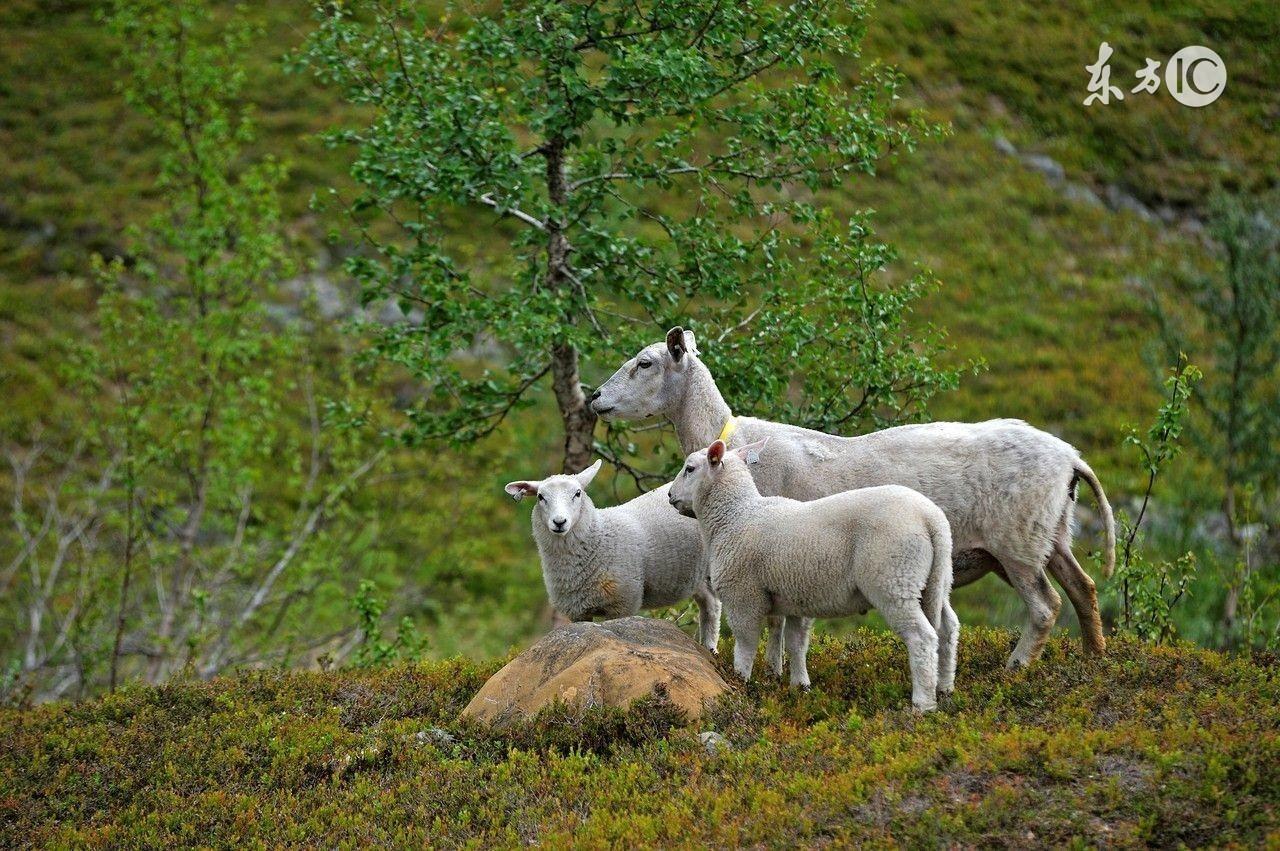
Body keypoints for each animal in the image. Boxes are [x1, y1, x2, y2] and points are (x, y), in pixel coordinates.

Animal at [504, 460, 721, 647]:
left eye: (577, 493)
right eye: (540, 497)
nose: (559, 522)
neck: (599, 537)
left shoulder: (623, 602)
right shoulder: (578, 612)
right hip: (695, 573)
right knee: (709, 603)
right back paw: (708, 647)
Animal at [586, 325, 1111, 665]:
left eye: (644, 363)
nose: (593, 397)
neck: (733, 443)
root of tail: (1071, 457)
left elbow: (775, 625)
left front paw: (771, 674)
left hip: (1016, 543)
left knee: (1046, 608)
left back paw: (1016, 667)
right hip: (1049, 535)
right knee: (1084, 589)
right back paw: (1094, 659)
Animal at [665, 437, 957, 711]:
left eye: (689, 469)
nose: (669, 496)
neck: (735, 516)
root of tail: (931, 519)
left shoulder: (743, 596)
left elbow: (746, 646)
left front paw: (741, 683)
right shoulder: (797, 597)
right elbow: (797, 643)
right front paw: (800, 687)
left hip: (894, 578)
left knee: (921, 637)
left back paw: (922, 704)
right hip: (936, 579)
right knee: (947, 628)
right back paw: (944, 687)